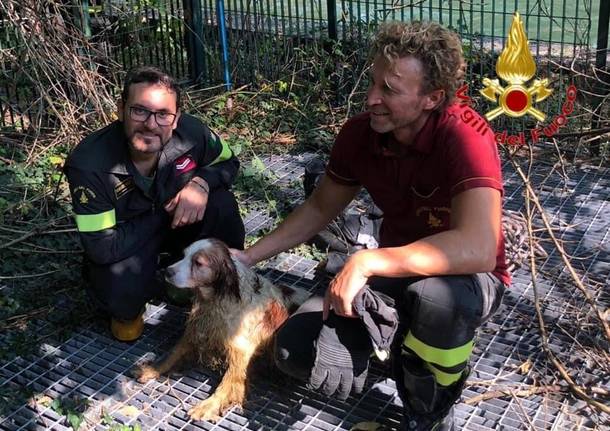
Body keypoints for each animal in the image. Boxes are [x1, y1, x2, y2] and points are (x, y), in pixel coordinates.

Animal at [131, 238, 306, 424]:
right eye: (184, 255)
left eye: (198, 263)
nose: (167, 271)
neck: (218, 300)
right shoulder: (196, 332)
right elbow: (172, 355)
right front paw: (151, 369)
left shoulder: (241, 355)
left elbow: (226, 385)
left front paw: (207, 406)